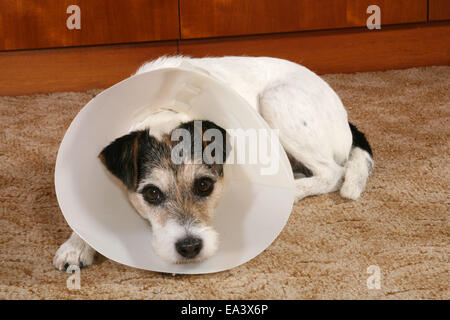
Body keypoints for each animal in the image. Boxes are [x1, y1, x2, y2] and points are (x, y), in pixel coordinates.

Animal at [54, 55, 374, 270]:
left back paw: (293, 189)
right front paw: (76, 244)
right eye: (151, 193)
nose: (190, 247)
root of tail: (344, 115)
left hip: (275, 99)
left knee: (333, 172)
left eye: (204, 185)